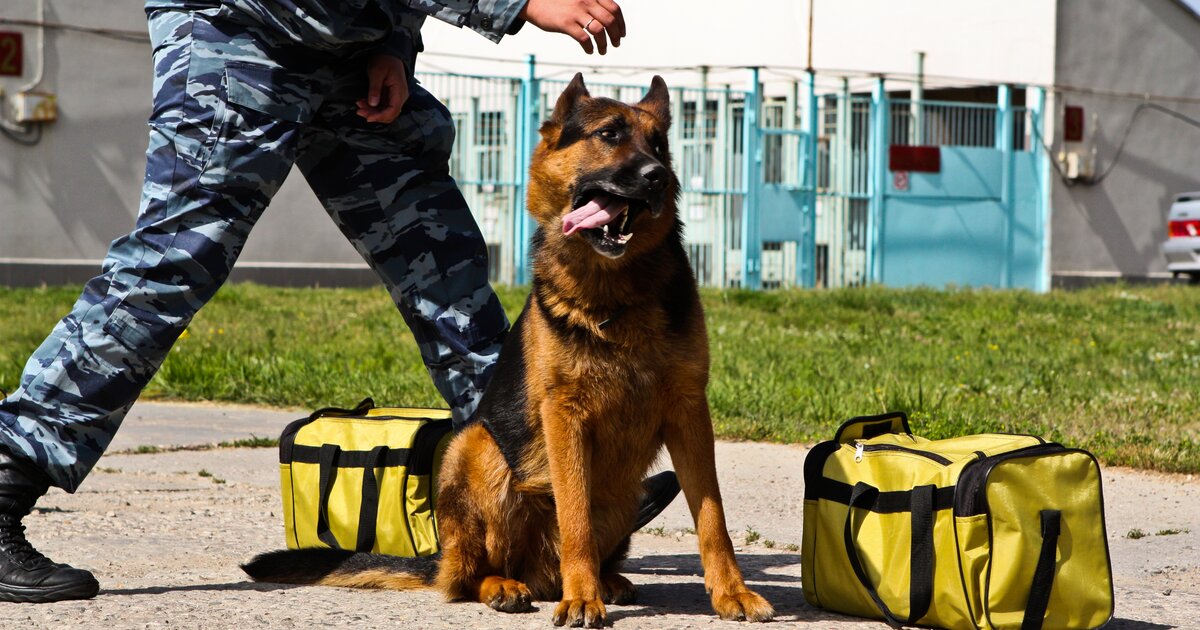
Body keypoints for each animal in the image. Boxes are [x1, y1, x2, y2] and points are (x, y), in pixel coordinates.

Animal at [240, 73, 772, 624]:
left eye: (660, 145)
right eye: (608, 135)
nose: (657, 178)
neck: (615, 293)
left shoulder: (689, 412)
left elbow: (712, 515)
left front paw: (730, 592)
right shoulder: (566, 417)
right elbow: (575, 517)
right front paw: (582, 598)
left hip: (621, 495)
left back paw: (603, 580)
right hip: (474, 450)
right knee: (466, 577)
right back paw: (509, 584)